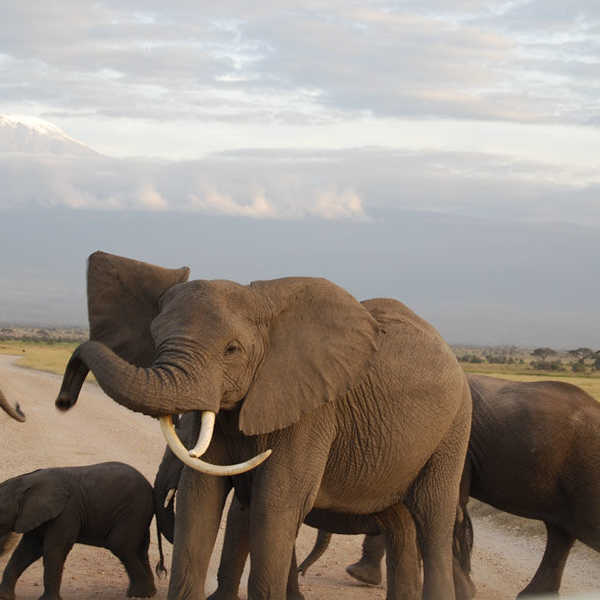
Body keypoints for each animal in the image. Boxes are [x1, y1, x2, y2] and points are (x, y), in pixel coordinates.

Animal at [0, 462, 166, 596]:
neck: (27, 481)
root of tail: (152, 490)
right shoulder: (35, 515)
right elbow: (27, 550)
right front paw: (5, 596)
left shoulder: (67, 512)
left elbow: (54, 550)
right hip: (139, 515)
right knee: (139, 549)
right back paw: (145, 593)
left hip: (134, 511)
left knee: (119, 544)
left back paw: (139, 594)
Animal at [56, 250, 472, 600]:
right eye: (156, 339)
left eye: (232, 350)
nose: (64, 399)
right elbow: (200, 498)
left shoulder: (311, 408)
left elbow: (275, 505)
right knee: (399, 524)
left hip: (456, 424)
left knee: (431, 520)